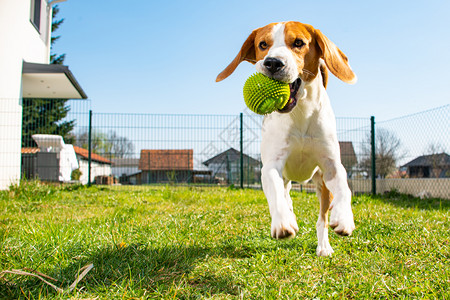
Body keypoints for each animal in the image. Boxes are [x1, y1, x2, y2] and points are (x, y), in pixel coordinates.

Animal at [217, 21, 356, 255]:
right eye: (263, 45)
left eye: (298, 43)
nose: (273, 63)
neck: (300, 113)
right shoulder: (271, 166)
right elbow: (275, 191)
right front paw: (283, 222)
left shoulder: (331, 165)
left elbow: (344, 189)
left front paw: (344, 217)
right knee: (284, 193)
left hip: (321, 184)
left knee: (321, 217)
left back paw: (323, 246)